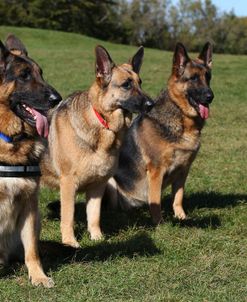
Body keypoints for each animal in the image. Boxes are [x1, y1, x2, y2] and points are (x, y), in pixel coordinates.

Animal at [40, 45, 152, 248]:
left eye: (140, 83)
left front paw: (97, 238)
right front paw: (70, 243)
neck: (102, 123)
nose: (151, 104)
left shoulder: (98, 186)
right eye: (126, 85)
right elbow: (68, 217)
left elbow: (94, 216)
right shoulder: (68, 184)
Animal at [105, 42, 214, 224]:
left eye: (208, 77)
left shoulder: (183, 170)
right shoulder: (156, 170)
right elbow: (155, 200)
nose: (210, 96)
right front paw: (159, 223)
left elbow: (178, 197)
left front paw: (181, 217)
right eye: (193, 78)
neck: (181, 117)